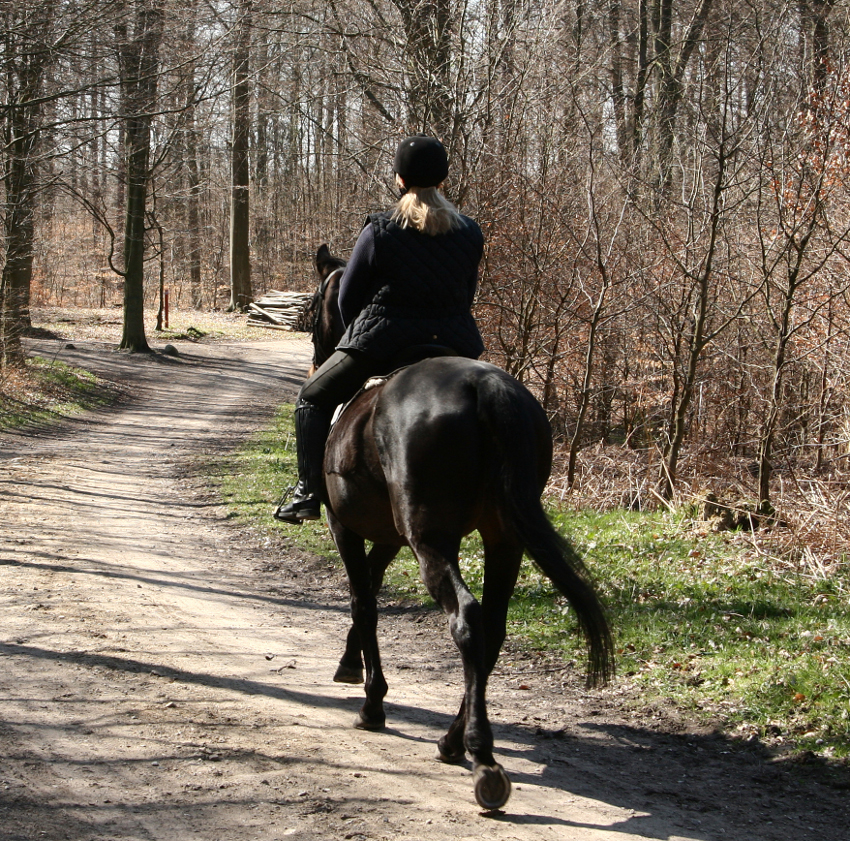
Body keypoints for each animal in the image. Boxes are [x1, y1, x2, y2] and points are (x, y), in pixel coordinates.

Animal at [305, 244, 614, 810]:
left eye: (318, 302)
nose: (318, 355)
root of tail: (484, 387)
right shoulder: (388, 537)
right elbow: (371, 593)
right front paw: (351, 663)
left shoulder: (347, 527)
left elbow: (364, 602)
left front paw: (372, 701)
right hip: (503, 540)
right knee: (493, 628)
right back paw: (454, 741)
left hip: (431, 541)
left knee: (468, 621)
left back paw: (481, 758)